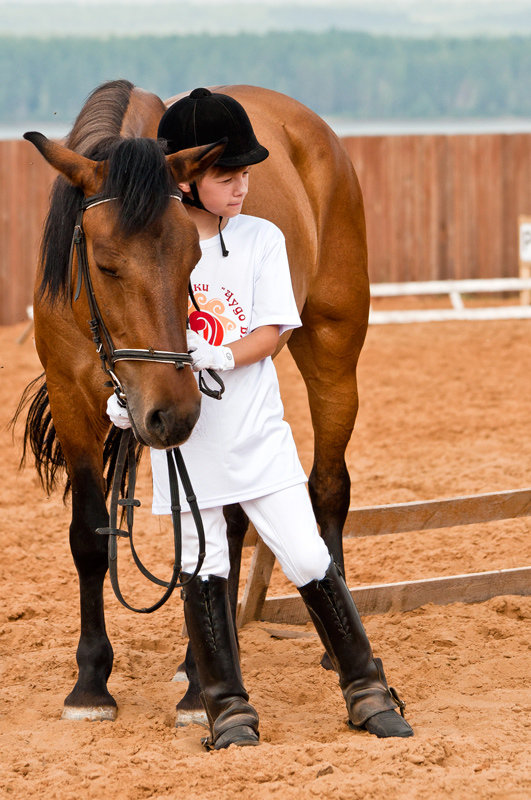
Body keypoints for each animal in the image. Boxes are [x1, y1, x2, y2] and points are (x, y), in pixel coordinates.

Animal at [19, 78, 370, 720]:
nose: (174, 413)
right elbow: (89, 535)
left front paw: (193, 681)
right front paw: (90, 682)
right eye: (105, 265)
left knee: (325, 490)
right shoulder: (70, 395)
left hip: (332, 349)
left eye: (192, 257)